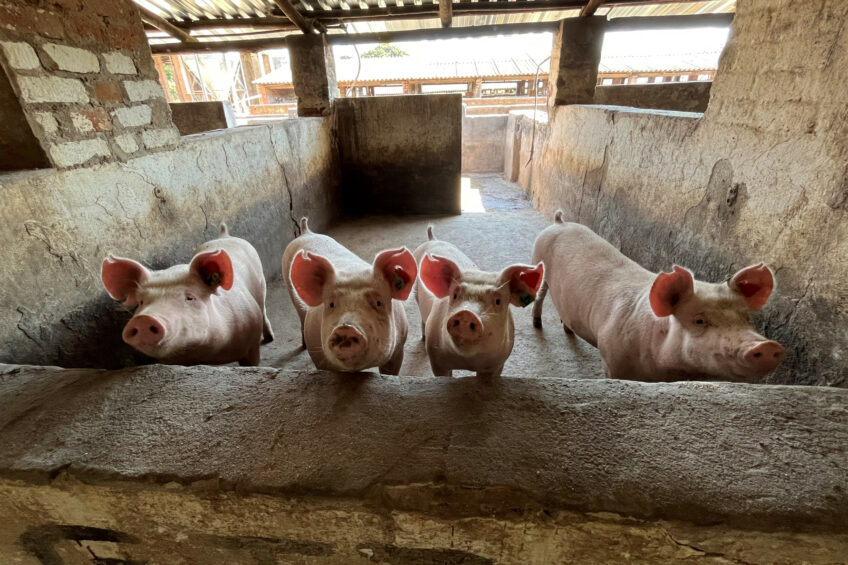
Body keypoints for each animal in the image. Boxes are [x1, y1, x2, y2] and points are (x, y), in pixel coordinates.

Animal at [100, 223, 274, 364]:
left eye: (190, 297)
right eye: (141, 302)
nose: (143, 318)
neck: (207, 355)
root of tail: (225, 235)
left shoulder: (251, 344)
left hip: (261, 282)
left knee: (264, 308)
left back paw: (269, 337)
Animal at [284, 218, 418, 372]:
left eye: (378, 303)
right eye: (331, 304)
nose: (346, 327)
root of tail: (306, 232)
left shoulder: (399, 348)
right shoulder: (317, 355)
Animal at [416, 226, 544, 378]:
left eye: (498, 301)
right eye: (455, 295)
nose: (466, 313)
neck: (468, 362)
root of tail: (432, 239)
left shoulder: (497, 364)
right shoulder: (436, 361)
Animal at [532, 212, 784, 384]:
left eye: (746, 318)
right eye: (699, 320)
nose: (767, 345)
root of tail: (559, 222)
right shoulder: (611, 359)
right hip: (538, 261)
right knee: (540, 294)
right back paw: (537, 323)